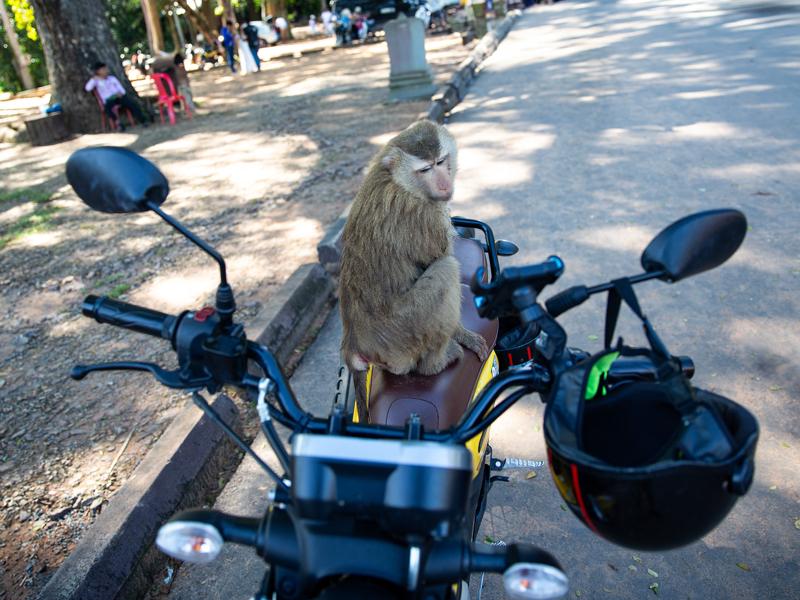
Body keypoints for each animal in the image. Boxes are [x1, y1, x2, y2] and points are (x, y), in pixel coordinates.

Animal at [338, 120, 489, 421]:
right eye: (425, 169)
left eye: (441, 161)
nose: (443, 184)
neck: (398, 179)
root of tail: (354, 342)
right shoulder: (429, 216)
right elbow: (442, 258)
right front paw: (463, 334)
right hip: (401, 333)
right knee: (446, 269)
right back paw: (436, 364)